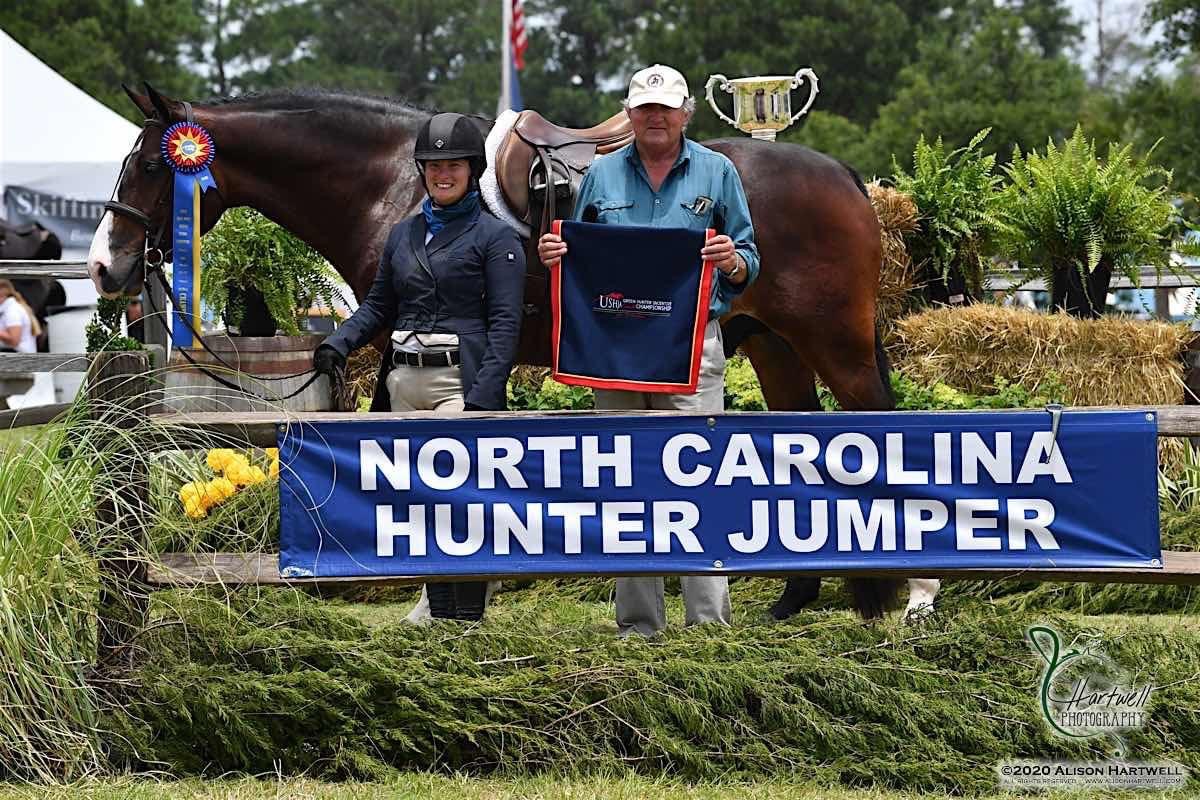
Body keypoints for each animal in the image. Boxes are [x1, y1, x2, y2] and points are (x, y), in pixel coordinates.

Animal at [87, 84, 907, 618]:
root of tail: (846, 179)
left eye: (153, 165)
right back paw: (802, 597)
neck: (393, 180)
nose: (104, 266)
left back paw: (902, 592)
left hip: (834, 345)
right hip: (776, 346)